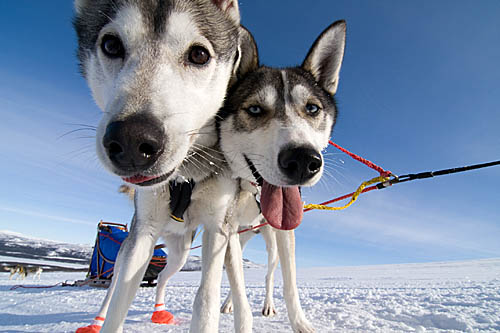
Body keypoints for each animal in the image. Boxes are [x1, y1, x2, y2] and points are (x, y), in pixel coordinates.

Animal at [73, 0, 246, 332]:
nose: (131, 141)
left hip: (179, 254)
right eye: (111, 45)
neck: (187, 175)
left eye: (199, 54)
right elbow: (119, 304)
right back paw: (97, 320)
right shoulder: (143, 234)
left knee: (164, 276)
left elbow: (206, 301)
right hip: (132, 245)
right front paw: (108, 320)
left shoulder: (217, 230)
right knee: (113, 285)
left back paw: (160, 310)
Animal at [217, 20, 346, 332]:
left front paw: (301, 324)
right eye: (254, 109)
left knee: (268, 274)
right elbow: (239, 292)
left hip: (270, 242)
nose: (303, 160)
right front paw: (239, 315)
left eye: (312, 108)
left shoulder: (286, 234)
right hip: (241, 237)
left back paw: (267, 305)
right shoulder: (227, 230)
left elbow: (290, 285)